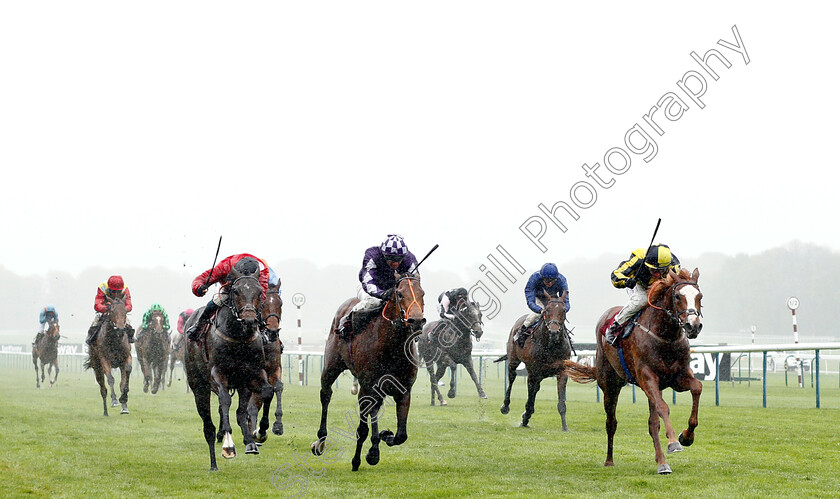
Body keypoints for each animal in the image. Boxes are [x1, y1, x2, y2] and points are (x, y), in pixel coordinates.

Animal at [185, 268, 274, 470]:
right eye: (236, 291)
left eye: (259, 292)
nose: (249, 320)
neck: (238, 337)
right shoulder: (219, 374)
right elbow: (225, 400)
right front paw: (228, 445)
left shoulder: (253, 373)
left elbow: (267, 392)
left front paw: (260, 432)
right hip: (198, 386)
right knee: (208, 425)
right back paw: (214, 463)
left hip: (242, 385)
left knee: (240, 412)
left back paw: (250, 441)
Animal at [310, 274, 426, 472]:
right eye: (400, 294)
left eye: (422, 293)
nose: (416, 321)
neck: (391, 347)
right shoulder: (366, 388)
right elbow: (362, 430)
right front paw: (358, 460)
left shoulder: (404, 390)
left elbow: (401, 435)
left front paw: (383, 438)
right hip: (331, 367)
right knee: (325, 395)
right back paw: (320, 441)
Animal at [498, 292, 572, 432]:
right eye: (547, 310)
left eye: (564, 310)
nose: (554, 332)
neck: (550, 345)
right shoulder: (532, 372)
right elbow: (530, 398)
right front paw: (525, 417)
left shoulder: (562, 372)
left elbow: (561, 402)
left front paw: (565, 426)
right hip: (513, 360)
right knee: (512, 377)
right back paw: (505, 406)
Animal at [564, 268, 704, 474]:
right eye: (678, 296)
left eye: (699, 296)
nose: (693, 326)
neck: (665, 336)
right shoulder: (647, 378)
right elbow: (664, 408)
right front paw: (673, 442)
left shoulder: (677, 378)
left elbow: (697, 387)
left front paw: (686, 436)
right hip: (610, 385)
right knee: (611, 422)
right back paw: (609, 460)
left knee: (653, 424)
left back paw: (662, 463)